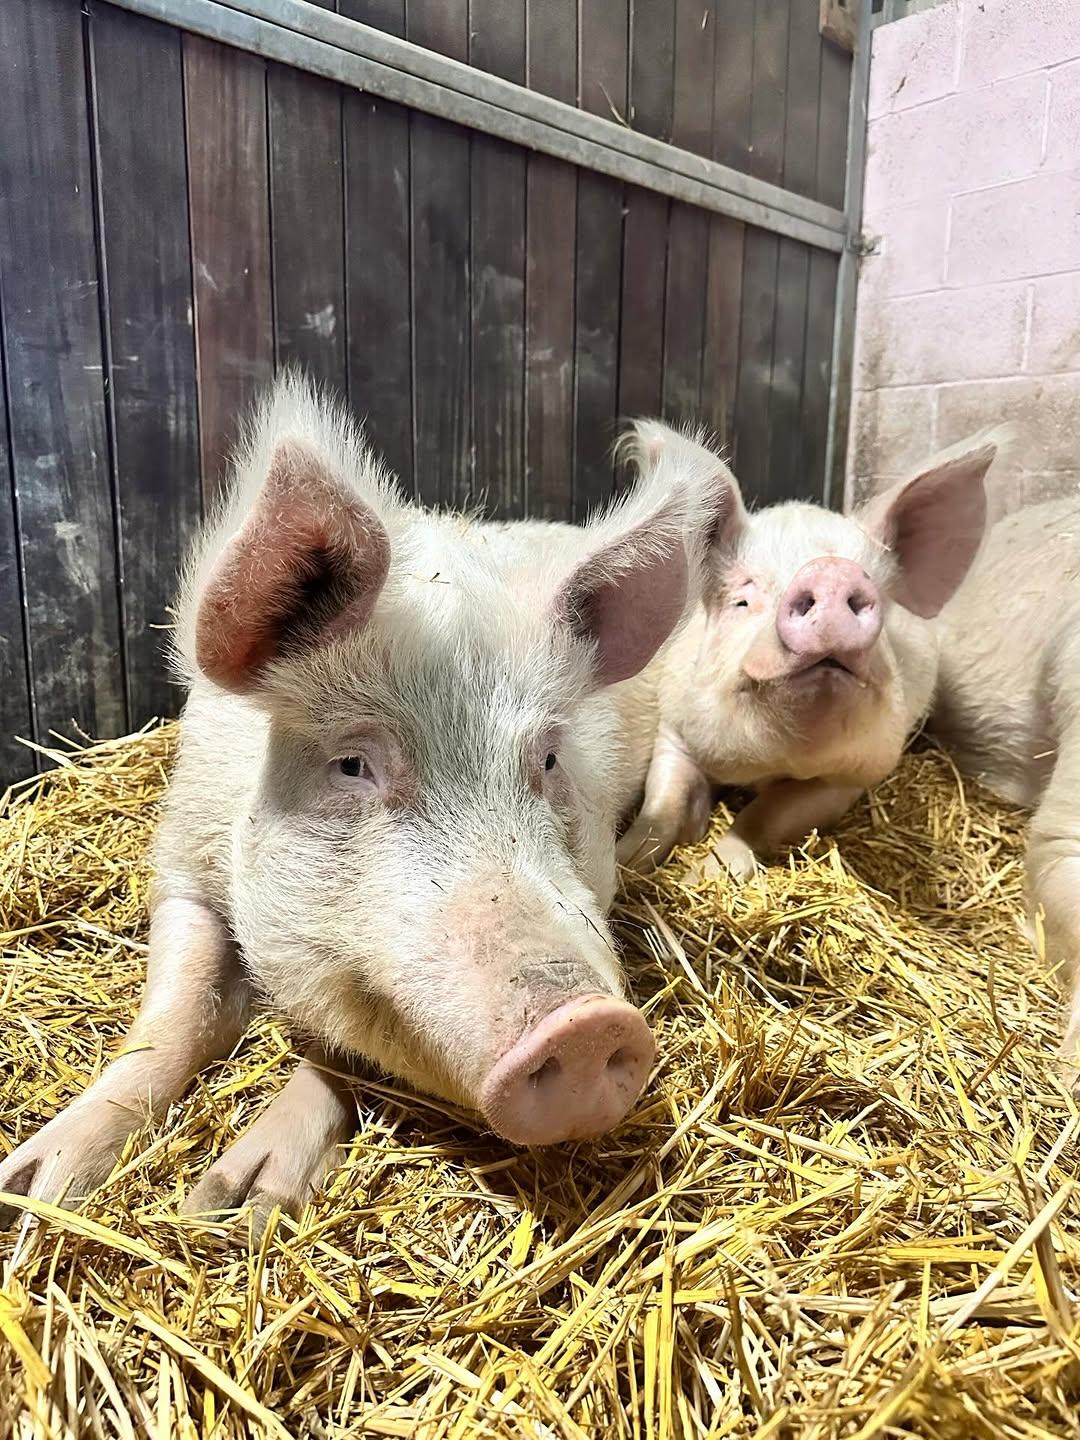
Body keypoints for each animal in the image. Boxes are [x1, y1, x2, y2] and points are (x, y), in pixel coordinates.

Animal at [0, 377, 734, 1231]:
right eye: (352, 765)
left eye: (548, 759)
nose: (585, 1026)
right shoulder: (181, 859)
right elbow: (178, 1011)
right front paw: (40, 1196)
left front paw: (243, 1205)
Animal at [616, 426, 1001, 880]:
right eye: (742, 600)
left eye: (883, 595)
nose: (831, 570)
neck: (767, 762)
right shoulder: (675, 730)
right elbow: (663, 806)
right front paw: (623, 864)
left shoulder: (850, 775)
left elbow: (765, 815)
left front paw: (707, 874)